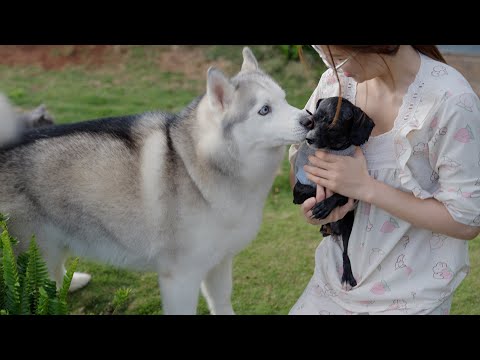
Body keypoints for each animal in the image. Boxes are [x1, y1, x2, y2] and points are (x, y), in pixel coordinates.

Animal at [0, 48, 312, 316]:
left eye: (284, 99)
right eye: (264, 110)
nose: (310, 120)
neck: (200, 169)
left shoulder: (220, 263)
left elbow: (222, 303)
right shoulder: (181, 278)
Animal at [292, 97, 376, 288]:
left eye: (333, 127)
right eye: (313, 120)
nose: (308, 138)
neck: (333, 152)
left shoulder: (352, 190)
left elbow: (339, 193)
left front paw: (325, 204)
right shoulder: (299, 188)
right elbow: (308, 189)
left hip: (347, 228)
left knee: (346, 253)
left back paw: (347, 276)